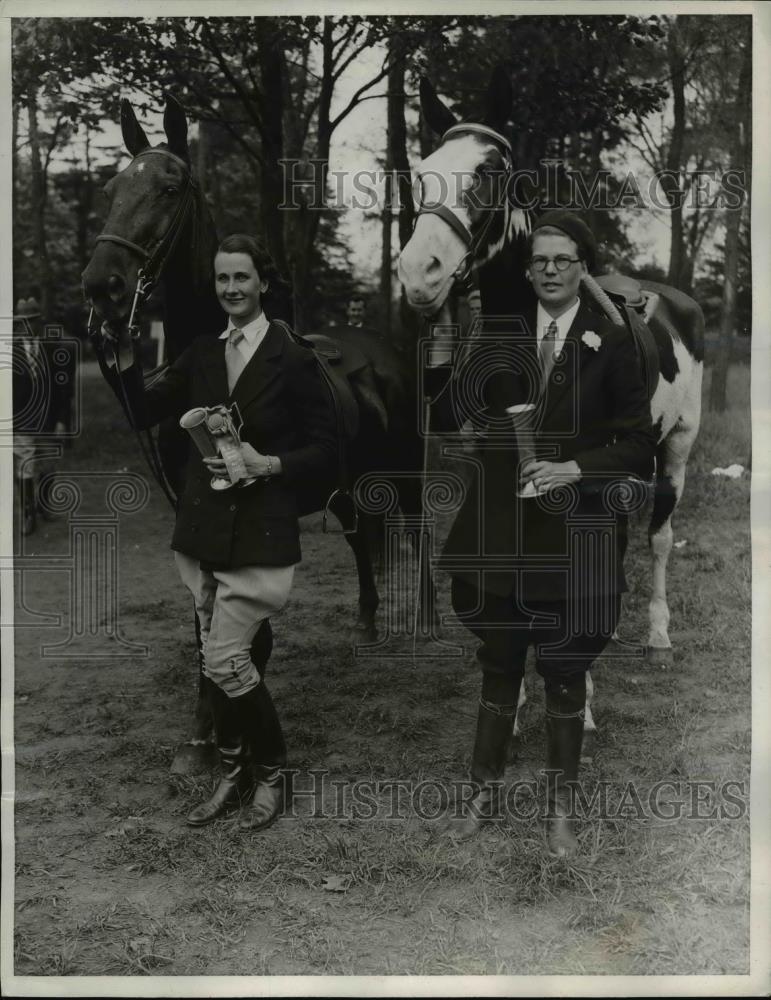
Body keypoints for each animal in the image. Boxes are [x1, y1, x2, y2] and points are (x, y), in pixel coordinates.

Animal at [83, 97, 440, 772]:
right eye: (112, 189)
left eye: (169, 188)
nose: (102, 286)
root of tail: (385, 350)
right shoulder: (190, 503)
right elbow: (205, 625)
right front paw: (204, 733)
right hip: (348, 486)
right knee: (361, 541)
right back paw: (366, 621)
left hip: (406, 472)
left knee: (420, 534)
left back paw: (428, 621)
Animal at [402, 70, 708, 740]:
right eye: (421, 172)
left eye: (490, 173)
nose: (418, 274)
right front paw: (515, 697)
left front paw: (580, 698)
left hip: (674, 449)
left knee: (658, 540)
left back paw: (657, 637)